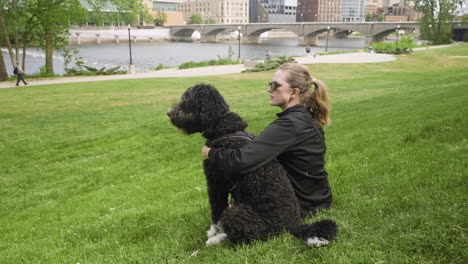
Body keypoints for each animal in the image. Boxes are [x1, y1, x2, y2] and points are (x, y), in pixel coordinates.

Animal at [167, 83, 336, 246]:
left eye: (187, 98)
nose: (168, 112)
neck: (223, 129)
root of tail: (294, 226)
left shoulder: (216, 183)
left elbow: (216, 212)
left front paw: (212, 234)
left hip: (238, 215)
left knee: (251, 237)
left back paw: (218, 240)